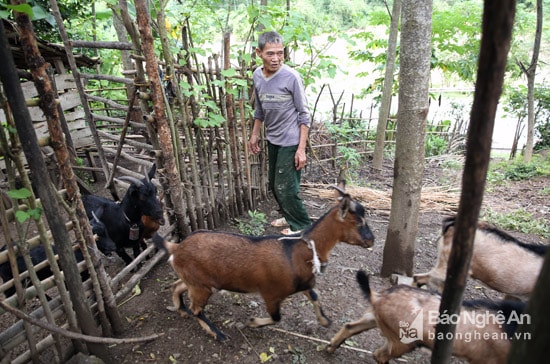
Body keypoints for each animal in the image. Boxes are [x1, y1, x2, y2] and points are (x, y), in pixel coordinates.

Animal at [326, 270, 528, 364]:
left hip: (375, 319)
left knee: (350, 327)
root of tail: (378, 297)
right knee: (380, 355)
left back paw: (330, 348)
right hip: (403, 341)